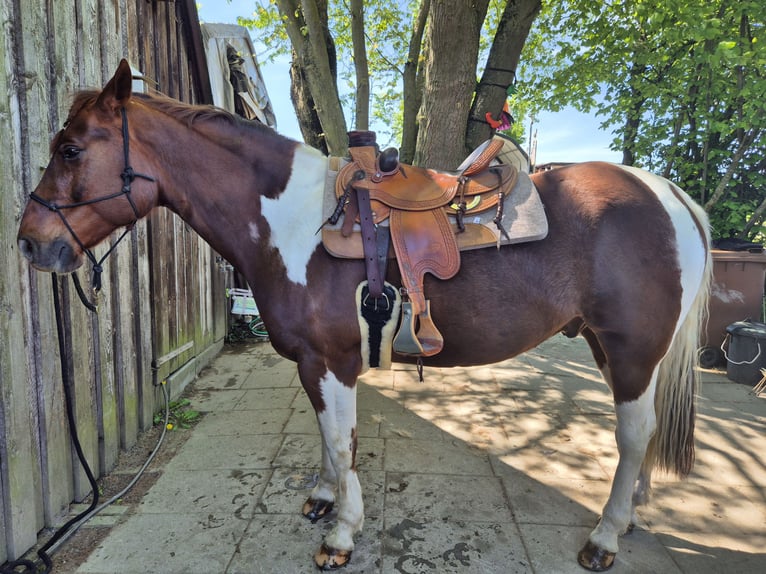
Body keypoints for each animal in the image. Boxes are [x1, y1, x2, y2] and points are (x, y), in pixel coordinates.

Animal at [17, 60, 711, 571]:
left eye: (71, 149)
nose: (29, 243)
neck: (292, 221)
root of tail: (668, 194)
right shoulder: (313, 363)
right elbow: (330, 437)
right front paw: (325, 499)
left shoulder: (333, 361)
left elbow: (340, 438)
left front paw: (341, 535)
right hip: (605, 345)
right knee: (643, 436)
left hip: (632, 349)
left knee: (632, 436)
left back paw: (606, 536)